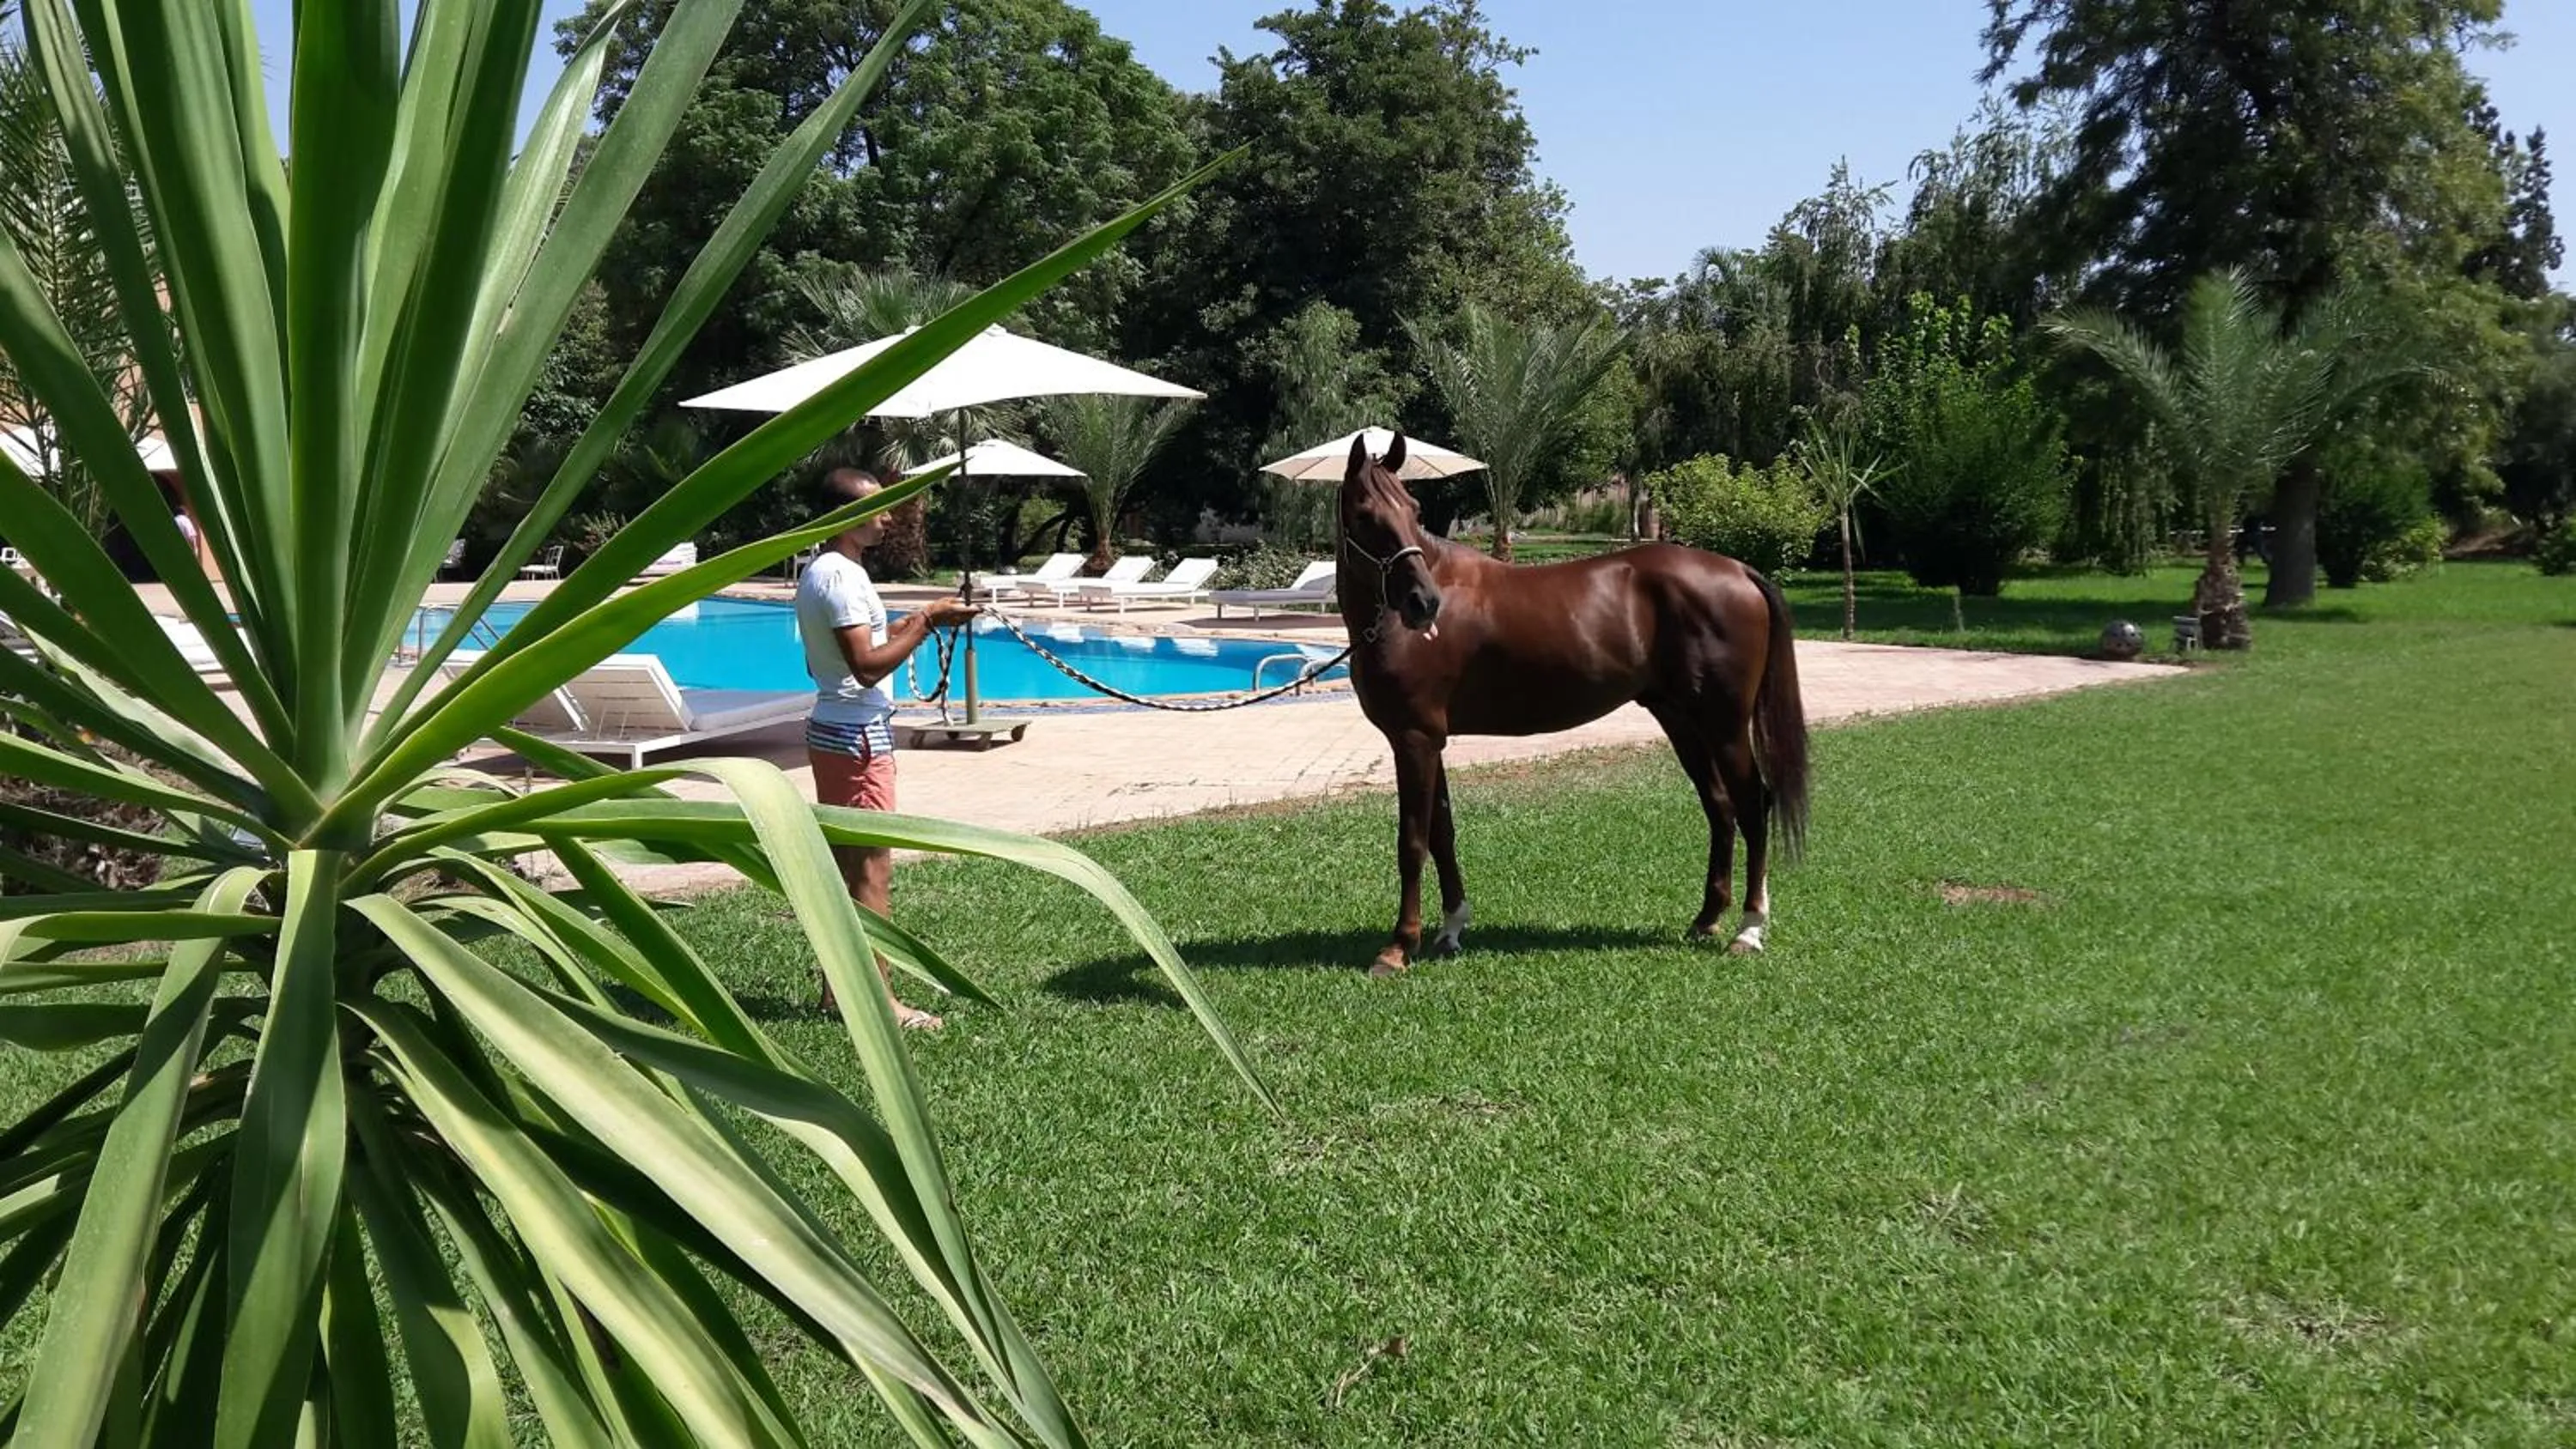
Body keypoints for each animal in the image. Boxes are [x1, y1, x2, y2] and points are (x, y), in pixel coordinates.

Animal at [1335, 431, 1811, 976]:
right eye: (1365, 515)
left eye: (1412, 509)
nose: (1424, 604)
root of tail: (1741, 571)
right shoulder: (1430, 740)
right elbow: (1442, 833)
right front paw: (1451, 929)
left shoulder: (1413, 740)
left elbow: (1412, 841)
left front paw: (1398, 947)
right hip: (1683, 721)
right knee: (1720, 807)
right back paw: (1707, 919)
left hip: (1725, 726)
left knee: (1753, 805)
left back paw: (1749, 930)